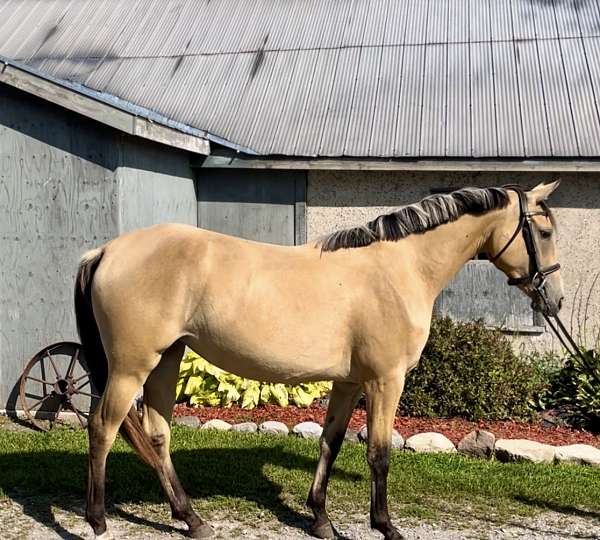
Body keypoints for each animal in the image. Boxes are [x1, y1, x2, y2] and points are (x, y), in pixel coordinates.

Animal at [75, 179, 564, 536]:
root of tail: (106, 250)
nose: (555, 299)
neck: (399, 268)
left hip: (166, 358)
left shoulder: (349, 381)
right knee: (102, 427)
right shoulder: (385, 380)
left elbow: (331, 441)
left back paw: (192, 520)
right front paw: (385, 526)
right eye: (543, 232)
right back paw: (97, 520)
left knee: (157, 435)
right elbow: (379, 453)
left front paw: (321, 519)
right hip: (132, 365)